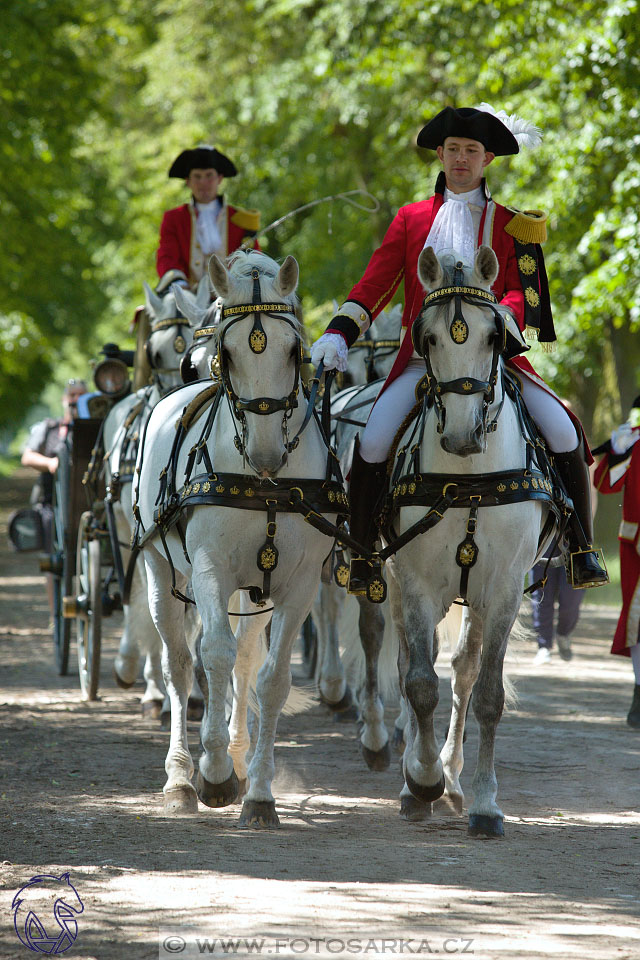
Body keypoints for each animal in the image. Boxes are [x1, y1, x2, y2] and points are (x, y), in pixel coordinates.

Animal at [134, 248, 340, 824]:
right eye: (226, 353)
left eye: (296, 350)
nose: (269, 455)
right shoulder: (210, 569)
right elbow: (213, 657)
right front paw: (214, 773)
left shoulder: (296, 584)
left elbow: (269, 677)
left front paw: (259, 791)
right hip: (161, 572)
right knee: (182, 663)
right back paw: (183, 776)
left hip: (254, 589)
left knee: (243, 657)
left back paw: (237, 756)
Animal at [358, 246, 556, 832]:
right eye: (426, 339)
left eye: (495, 337)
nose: (463, 437)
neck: (467, 478)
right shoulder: (417, 581)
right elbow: (420, 683)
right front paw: (420, 779)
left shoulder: (504, 587)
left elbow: (487, 692)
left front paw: (485, 802)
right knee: (409, 661)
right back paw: (419, 774)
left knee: (464, 671)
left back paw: (453, 776)